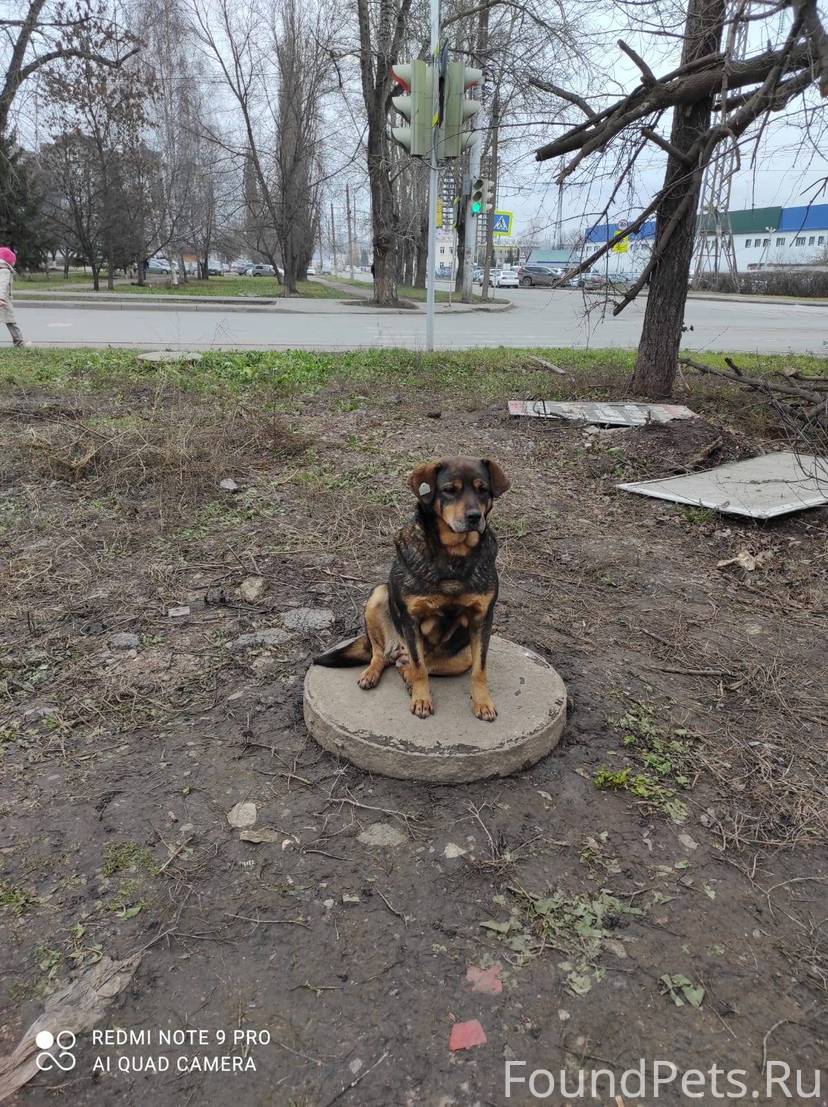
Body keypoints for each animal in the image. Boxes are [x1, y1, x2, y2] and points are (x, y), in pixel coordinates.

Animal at [314, 457, 510, 721]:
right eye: (449, 490)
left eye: (483, 490)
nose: (474, 517)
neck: (453, 555)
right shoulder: (410, 618)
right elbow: (419, 667)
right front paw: (422, 699)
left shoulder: (482, 618)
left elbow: (479, 669)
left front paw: (483, 702)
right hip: (379, 596)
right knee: (383, 654)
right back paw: (372, 673)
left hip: (461, 656)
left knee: (414, 663)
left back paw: (406, 675)